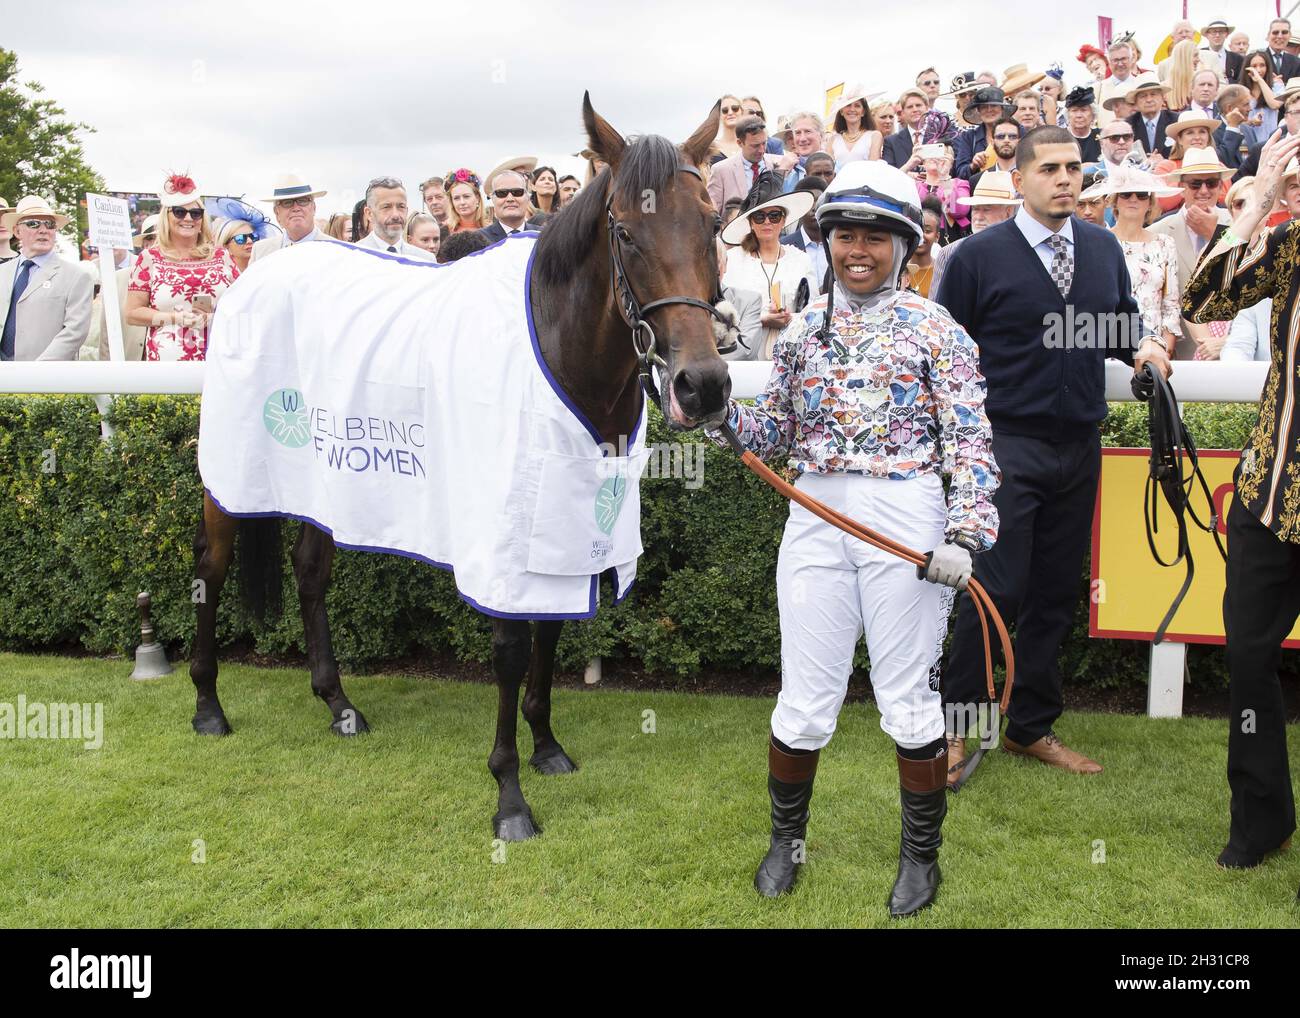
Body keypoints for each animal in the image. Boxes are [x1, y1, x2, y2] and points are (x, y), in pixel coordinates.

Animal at [188, 93, 733, 842]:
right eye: (624, 232)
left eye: (712, 224)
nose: (701, 385)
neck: (558, 349)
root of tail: (254, 278)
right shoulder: (499, 531)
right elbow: (508, 649)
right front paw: (509, 796)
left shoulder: (562, 522)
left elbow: (550, 632)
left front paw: (548, 748)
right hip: (232, 477)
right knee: (210, 571)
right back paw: (208, 705)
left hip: (327, 481)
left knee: (310, 570)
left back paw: (338, 703)